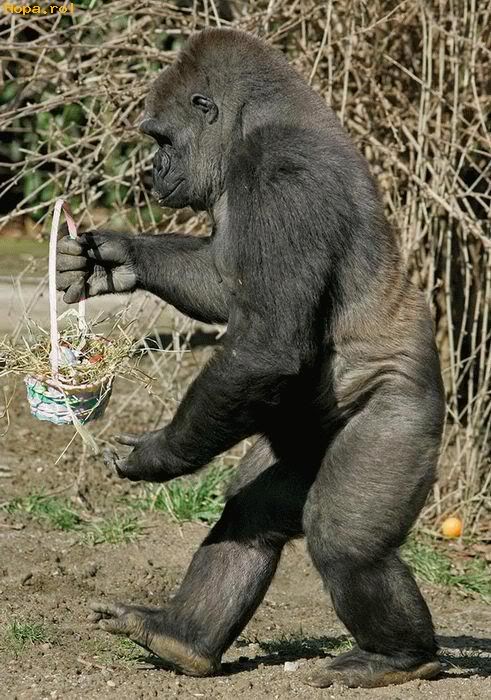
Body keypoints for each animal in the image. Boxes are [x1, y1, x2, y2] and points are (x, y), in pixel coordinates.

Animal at [56, 28, 446, 688]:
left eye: (161, 139)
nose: (152, 169)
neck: (258, 121)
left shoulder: (281, 175)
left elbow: (265, 347)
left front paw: (159, 456)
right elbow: (220, 281)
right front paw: (116, 257)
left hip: (409, 414)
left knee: (346, 542)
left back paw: (399, 657)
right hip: (297, 433)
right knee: (254, 510)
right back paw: (178, 637)